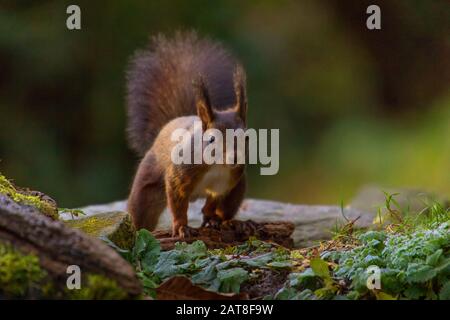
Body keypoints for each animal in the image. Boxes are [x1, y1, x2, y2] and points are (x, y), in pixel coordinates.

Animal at [125, 32, 246, 238]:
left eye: (247, 137)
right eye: (211, 139)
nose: (235, 158)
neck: (217, 166)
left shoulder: (227, 182)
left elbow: (213, 202)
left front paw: (211, 216)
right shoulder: (180, 173)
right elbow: (177, 200)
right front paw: (182, 227)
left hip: (238, 188)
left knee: (226, 209)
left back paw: (229, 222)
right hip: (146, 190)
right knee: (141, 215)